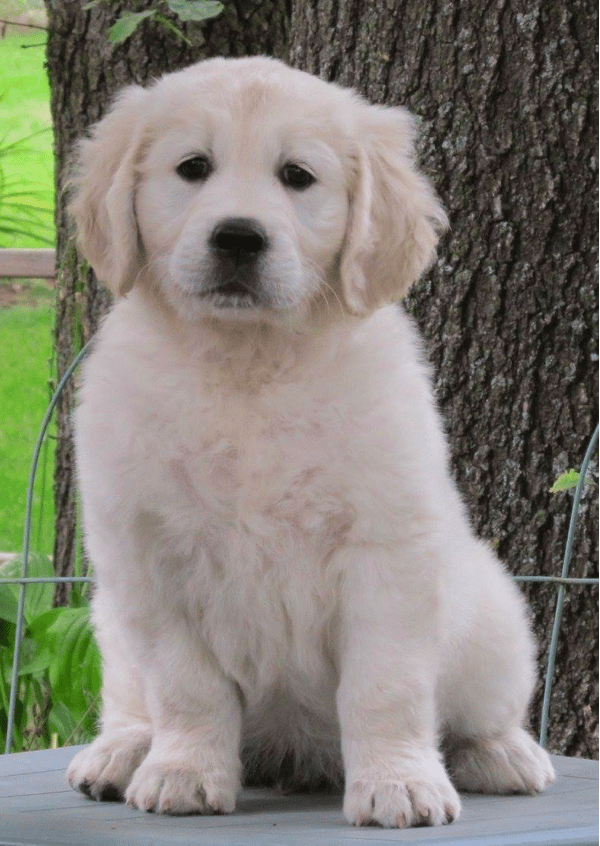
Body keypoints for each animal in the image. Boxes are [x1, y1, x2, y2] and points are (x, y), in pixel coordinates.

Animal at [65, 58, 552, 828]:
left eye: (297, 176)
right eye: (192, 167)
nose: (238, 237)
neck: (248, 366)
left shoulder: (386, 549)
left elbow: (384, 687)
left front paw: (398, 783)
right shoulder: (148, 560)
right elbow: (187, 686)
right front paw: (184, 771)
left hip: (493, 615)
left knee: (482, 710)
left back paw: (500, 754)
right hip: (110, 616)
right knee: (131, 701)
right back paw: (120, 753)